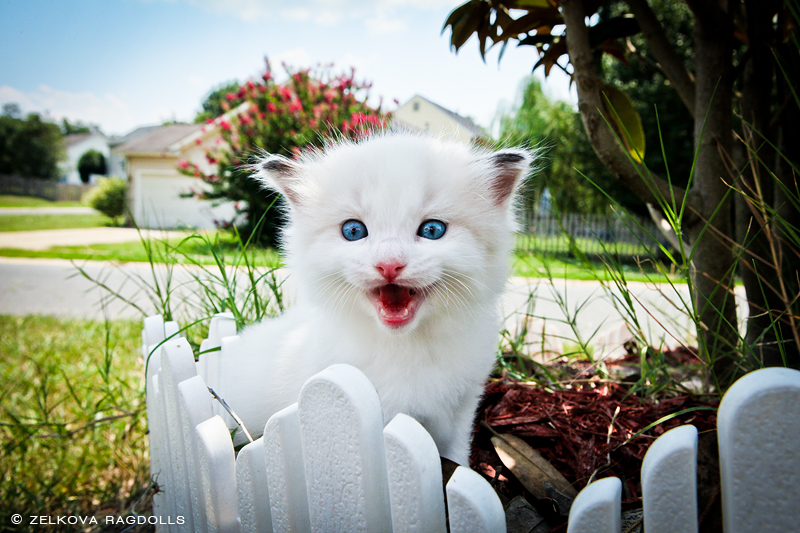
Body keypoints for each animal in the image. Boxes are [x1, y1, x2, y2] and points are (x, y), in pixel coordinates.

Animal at [225, 131, 532, 464]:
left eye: (432, 230)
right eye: (353, 231)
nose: (389, 265)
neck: (406, 348)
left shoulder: (462, 409)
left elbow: (456, 456)